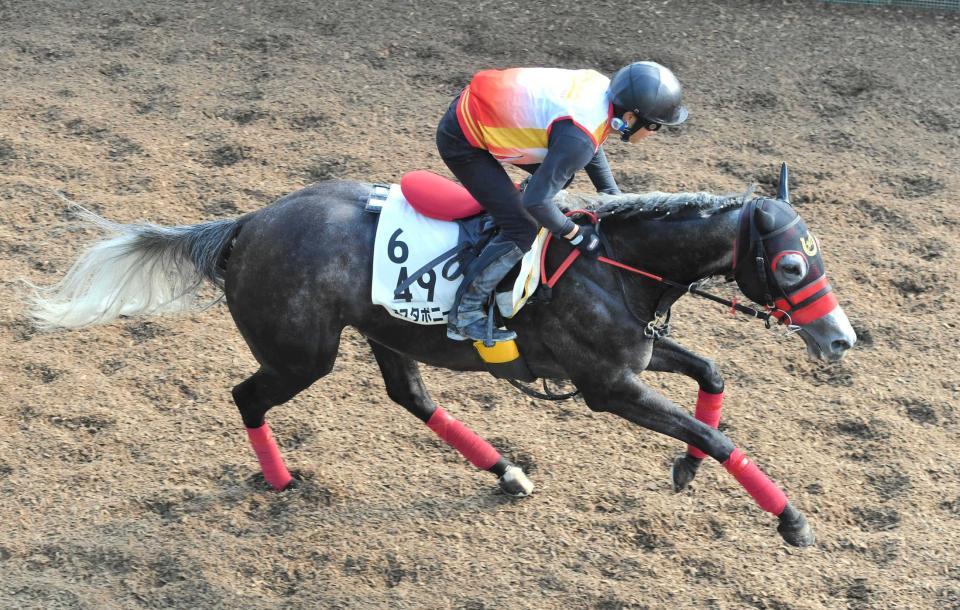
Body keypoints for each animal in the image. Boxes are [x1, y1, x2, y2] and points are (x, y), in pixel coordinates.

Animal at [30, 167, 856, 548]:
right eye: (790, 265)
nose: (841, 338)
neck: (613, 262)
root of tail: (246, 225)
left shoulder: (633, 360)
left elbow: (712, 379)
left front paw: (684, 470)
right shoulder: (608, 386)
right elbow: (716, 434)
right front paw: (792, 522)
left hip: (385, 335)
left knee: (413, 399)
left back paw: (508, 473)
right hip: (302, 356)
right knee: (247, 397)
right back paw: (283, 481)